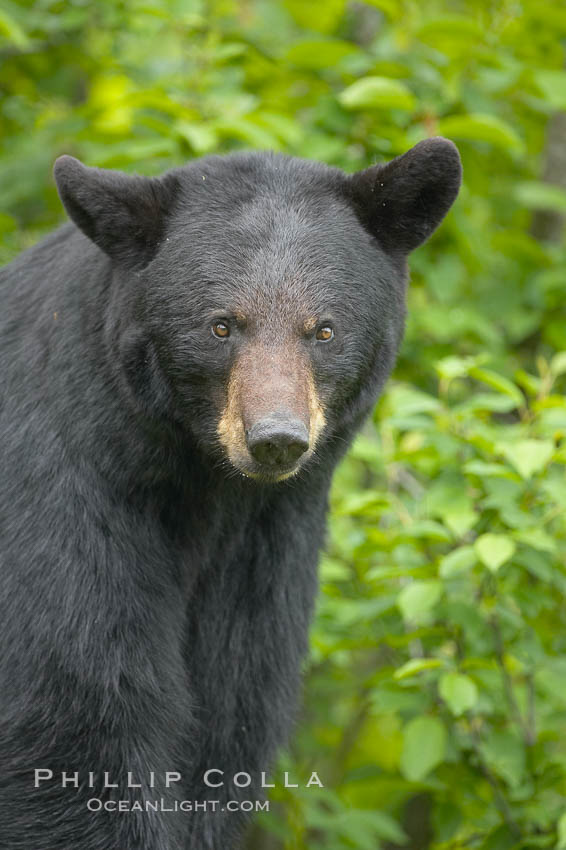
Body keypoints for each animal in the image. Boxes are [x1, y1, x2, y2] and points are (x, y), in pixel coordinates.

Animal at [0, 136, 462, 844]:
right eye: (221, 325)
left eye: (323, 329)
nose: (276, 439)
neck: (201, 484)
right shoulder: (63, 493)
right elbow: (76, 713)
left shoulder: (264, 544)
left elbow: (228, 718)